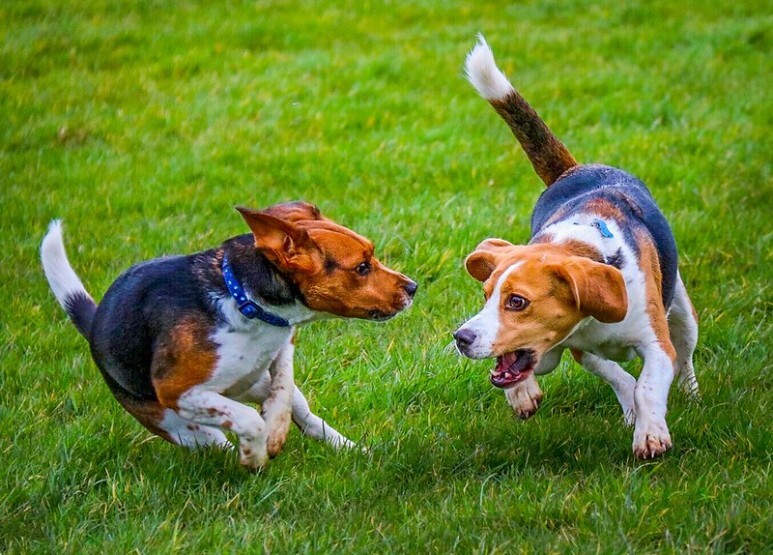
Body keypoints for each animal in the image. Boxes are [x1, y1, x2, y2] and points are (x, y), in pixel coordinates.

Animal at [42, 201, 416, 470]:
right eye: (362, 268)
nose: (413, 287)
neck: (244, 301)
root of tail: (94, 322)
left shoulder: (283, 343)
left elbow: (283, 385)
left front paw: (276, 429)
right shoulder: (178, 390)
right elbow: (249, 420)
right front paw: (256, 451)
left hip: (252, 385)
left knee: (305, 414)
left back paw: (352, 450)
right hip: (179, 424)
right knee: (217, 438)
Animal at [452, 37, 700, 458]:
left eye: (517, 301)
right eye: (486, 295)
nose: (461, 338)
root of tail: (576, 170)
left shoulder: (656, 343)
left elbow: (648, 386)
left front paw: (651, 433)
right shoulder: (577, 347)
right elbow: (619, 377)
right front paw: (522, 393)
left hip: (682, 315)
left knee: (685, 354)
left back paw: (691, 394)